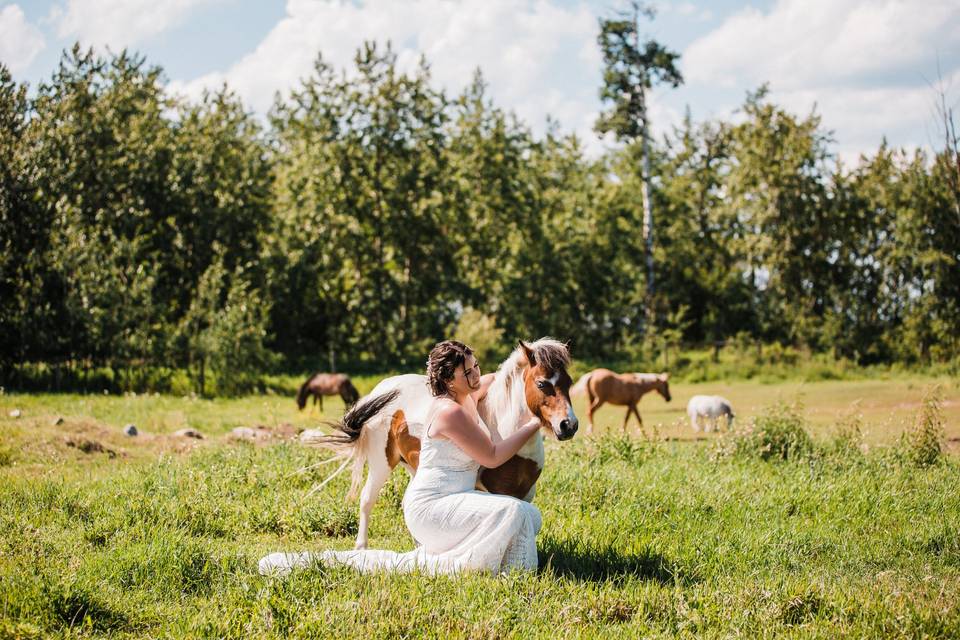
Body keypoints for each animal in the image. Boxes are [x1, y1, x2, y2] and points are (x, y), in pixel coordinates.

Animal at [312, 340, 576, 552]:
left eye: (569, 382)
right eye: (541, 384)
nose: (568, 425)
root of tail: (381, 389)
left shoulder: (525, 494)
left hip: (414, 466)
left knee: (406, 502)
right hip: (380, 462)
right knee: (367, 500)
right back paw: (362, 547)